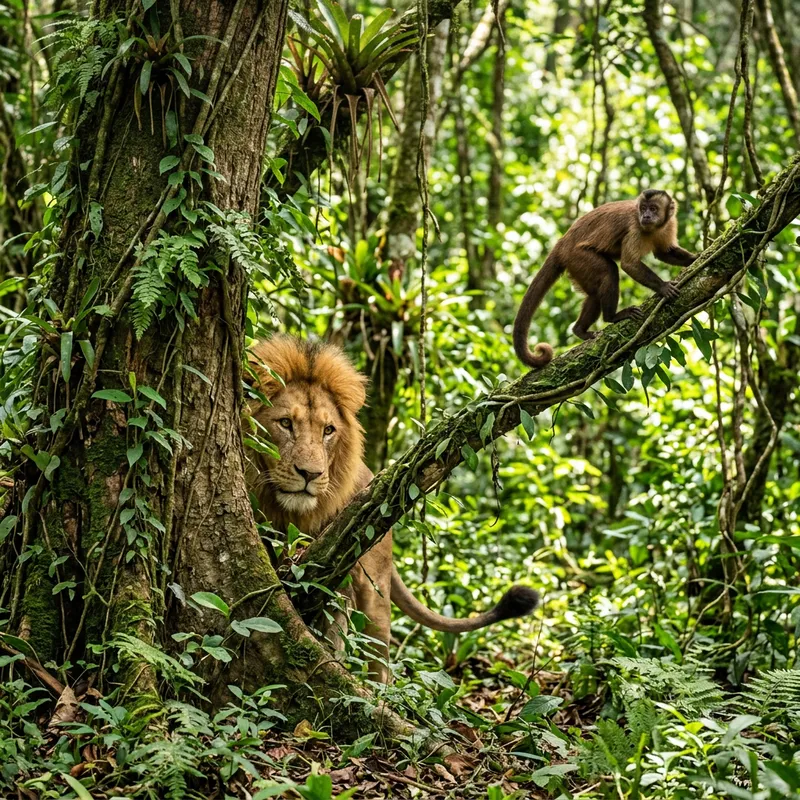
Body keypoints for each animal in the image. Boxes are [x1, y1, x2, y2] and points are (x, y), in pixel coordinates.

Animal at [246, 335, 539, 682]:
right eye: (286, 424)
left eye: (328, 430)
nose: (311, 474)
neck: (287, 512)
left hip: (374, 593)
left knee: (378, 656)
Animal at [513, 190, 697, 368]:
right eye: (643, 208)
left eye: (653, 209)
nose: (646, 216)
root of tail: (561, 244)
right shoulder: (635, 228)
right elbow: (629, 264)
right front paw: (663, 287)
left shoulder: (670, 224)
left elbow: (664, 253)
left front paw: (695, 259)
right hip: (577, 257)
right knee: (610, 272)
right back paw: (612, 317)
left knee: (594, 294)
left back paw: (579, 330)